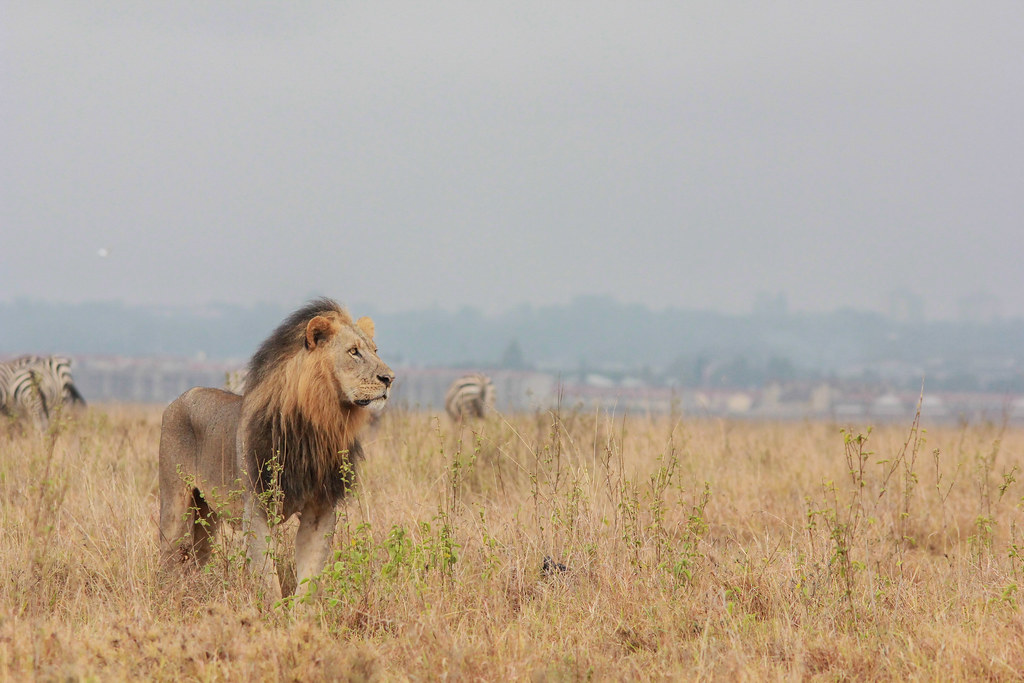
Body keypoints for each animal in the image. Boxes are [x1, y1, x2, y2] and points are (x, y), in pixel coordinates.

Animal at [158, 298, 394, 599]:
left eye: (375, 351)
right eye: (354, 352)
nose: (389, 378)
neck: (319, 423)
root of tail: (182, 397)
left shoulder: (321, 509)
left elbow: (309, 576)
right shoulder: (257, 508)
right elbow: (267, 579)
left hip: (207, 516)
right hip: (175, 506)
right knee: (167, 555)